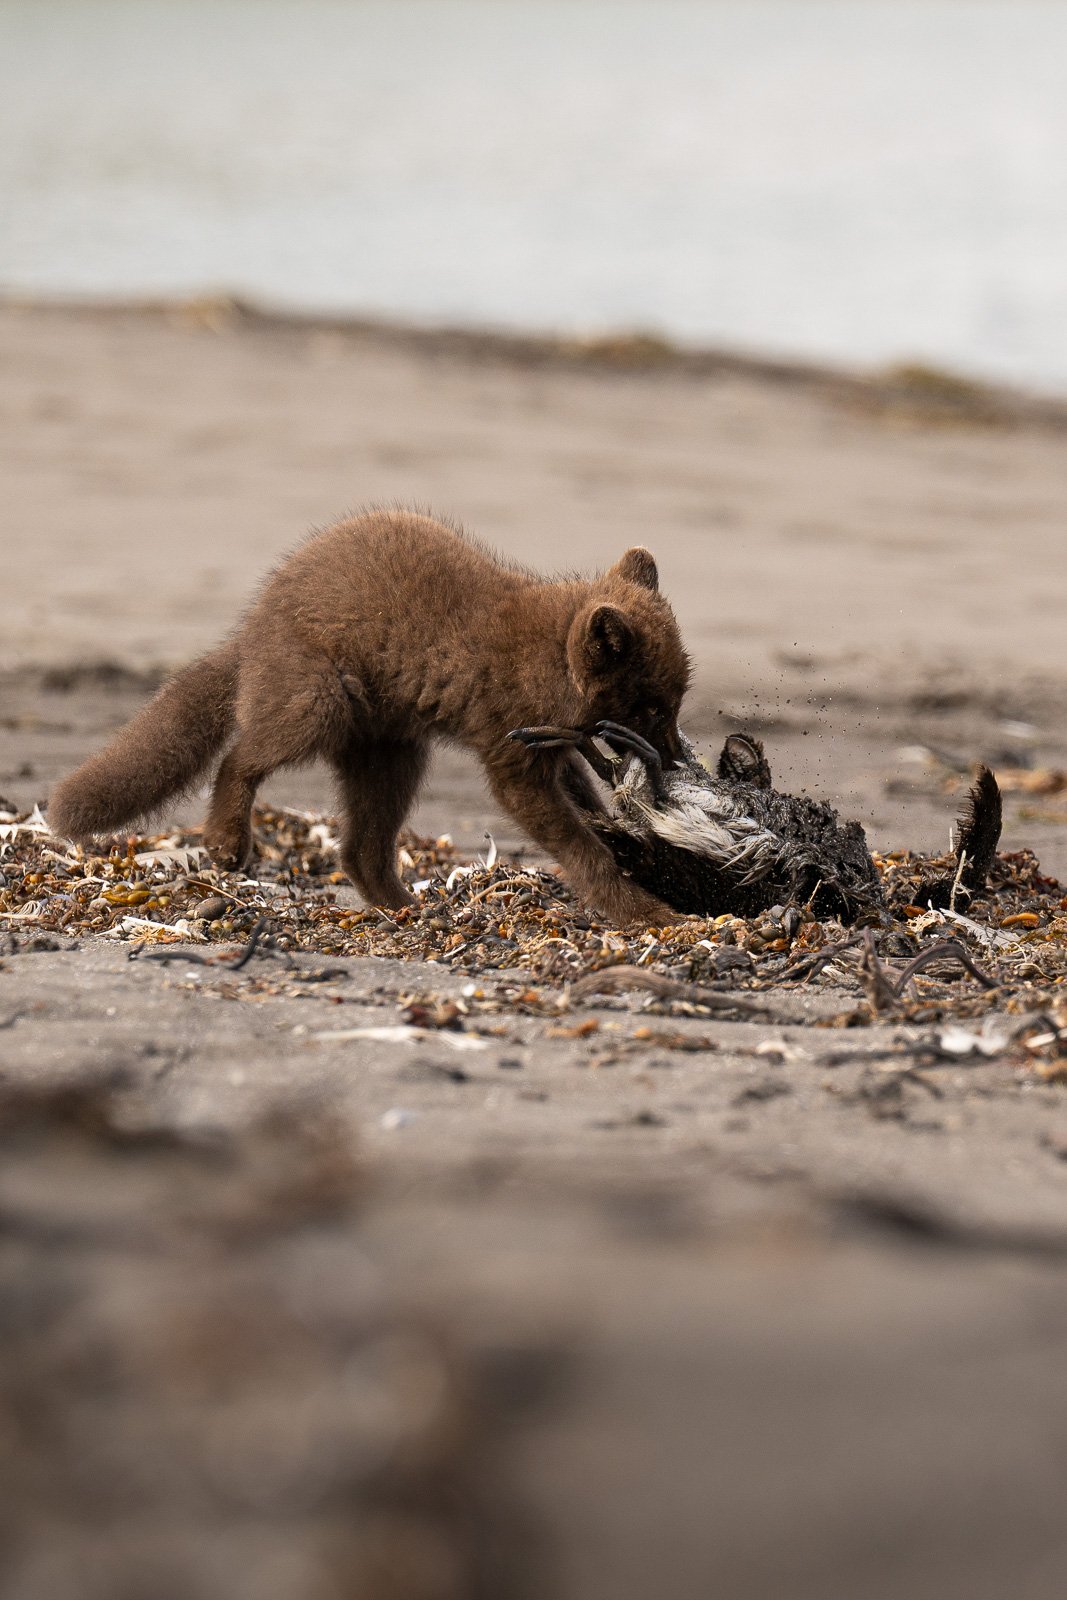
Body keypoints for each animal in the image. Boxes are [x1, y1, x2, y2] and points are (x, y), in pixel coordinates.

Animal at [49, 509, 691, 925]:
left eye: (678, 698)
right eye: (651, 705)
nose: (675, 759)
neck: (546, 659)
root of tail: (250, 632)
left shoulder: (551, 748)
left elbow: (583, 794)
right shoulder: (512, 755)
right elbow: (579, 846)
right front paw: (647, 911)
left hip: (391, 748)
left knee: (359, 847)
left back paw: (409, 910)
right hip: (319, 700)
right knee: (240, 758)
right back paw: (228, 844)